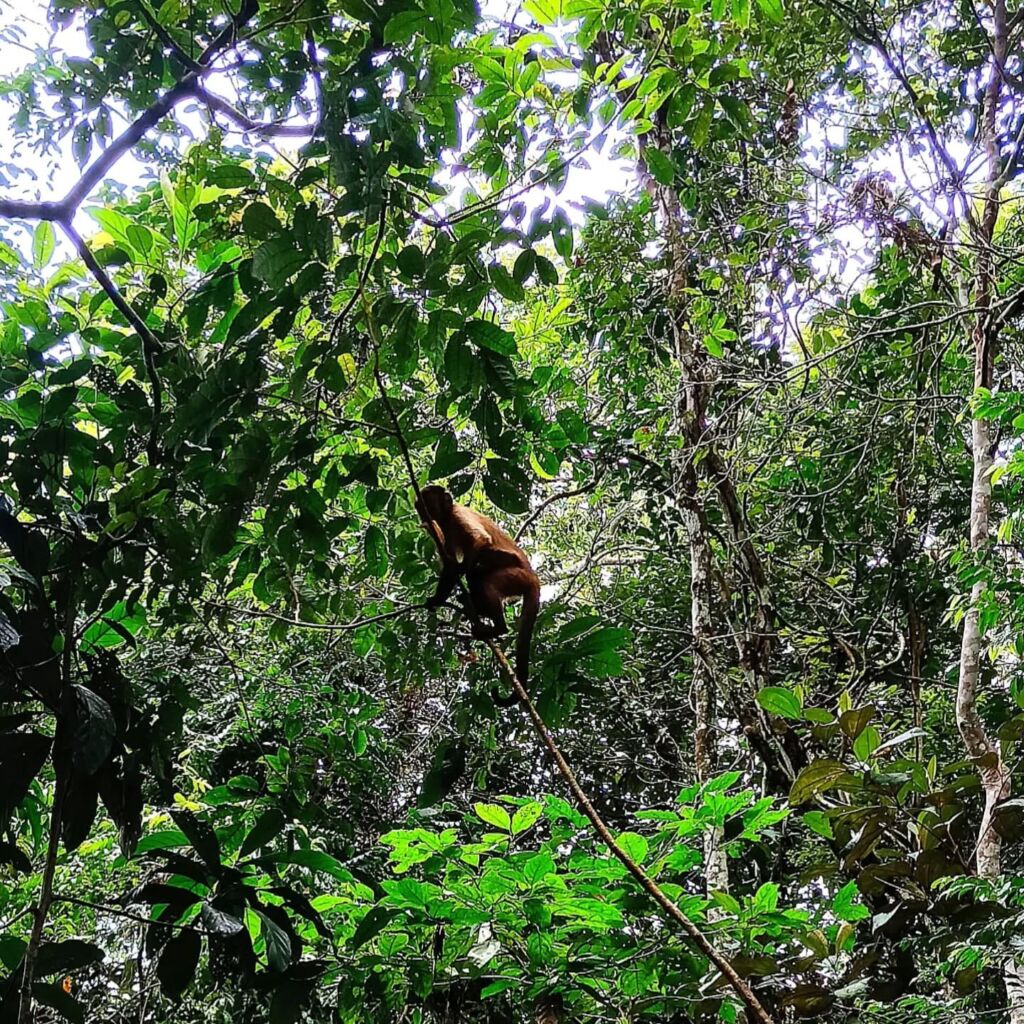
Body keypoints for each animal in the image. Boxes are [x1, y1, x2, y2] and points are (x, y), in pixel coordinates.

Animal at [415, 485, 541, 706]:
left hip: (516, 577)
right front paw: (438, 599)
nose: (418, 503)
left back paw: (498, 627)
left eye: (428, 499)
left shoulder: (458, 516)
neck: (447, 517)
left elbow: (481, 541)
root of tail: (533, 579)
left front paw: (459, 571)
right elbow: (448, 565)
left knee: (484, 575)